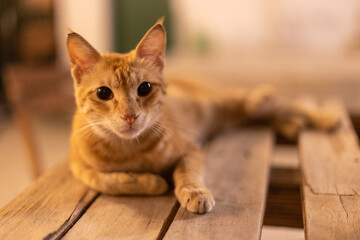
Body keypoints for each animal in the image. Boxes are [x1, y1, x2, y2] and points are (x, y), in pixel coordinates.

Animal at [67, 17, 338, 215]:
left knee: (278, 104)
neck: (129, 150)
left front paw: (194, 192)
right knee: (263, 113)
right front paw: (151, 182)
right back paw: (292, 125)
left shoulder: (190, 149)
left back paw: (322, 117)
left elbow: (187, 173)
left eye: (144, 88)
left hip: (226, 101)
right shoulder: (79, 168)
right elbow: (106, 180)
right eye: (103, 93)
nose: (130, 116)